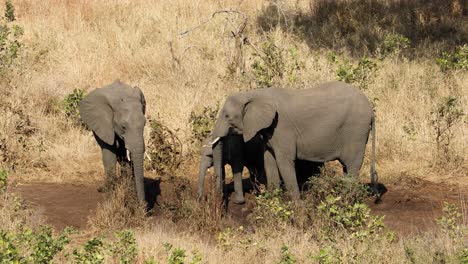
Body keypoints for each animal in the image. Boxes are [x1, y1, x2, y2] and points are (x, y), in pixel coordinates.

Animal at [211, 81, 376, 199]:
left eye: (227, 116)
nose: (221, 197)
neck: (254, 94)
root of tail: (371, 110)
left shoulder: (282, 128)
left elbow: (284, 162)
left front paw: (297, 208)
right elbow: (269, 161)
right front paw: (272, 204)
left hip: (356, 131)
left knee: (352, 166)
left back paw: (344, 201)